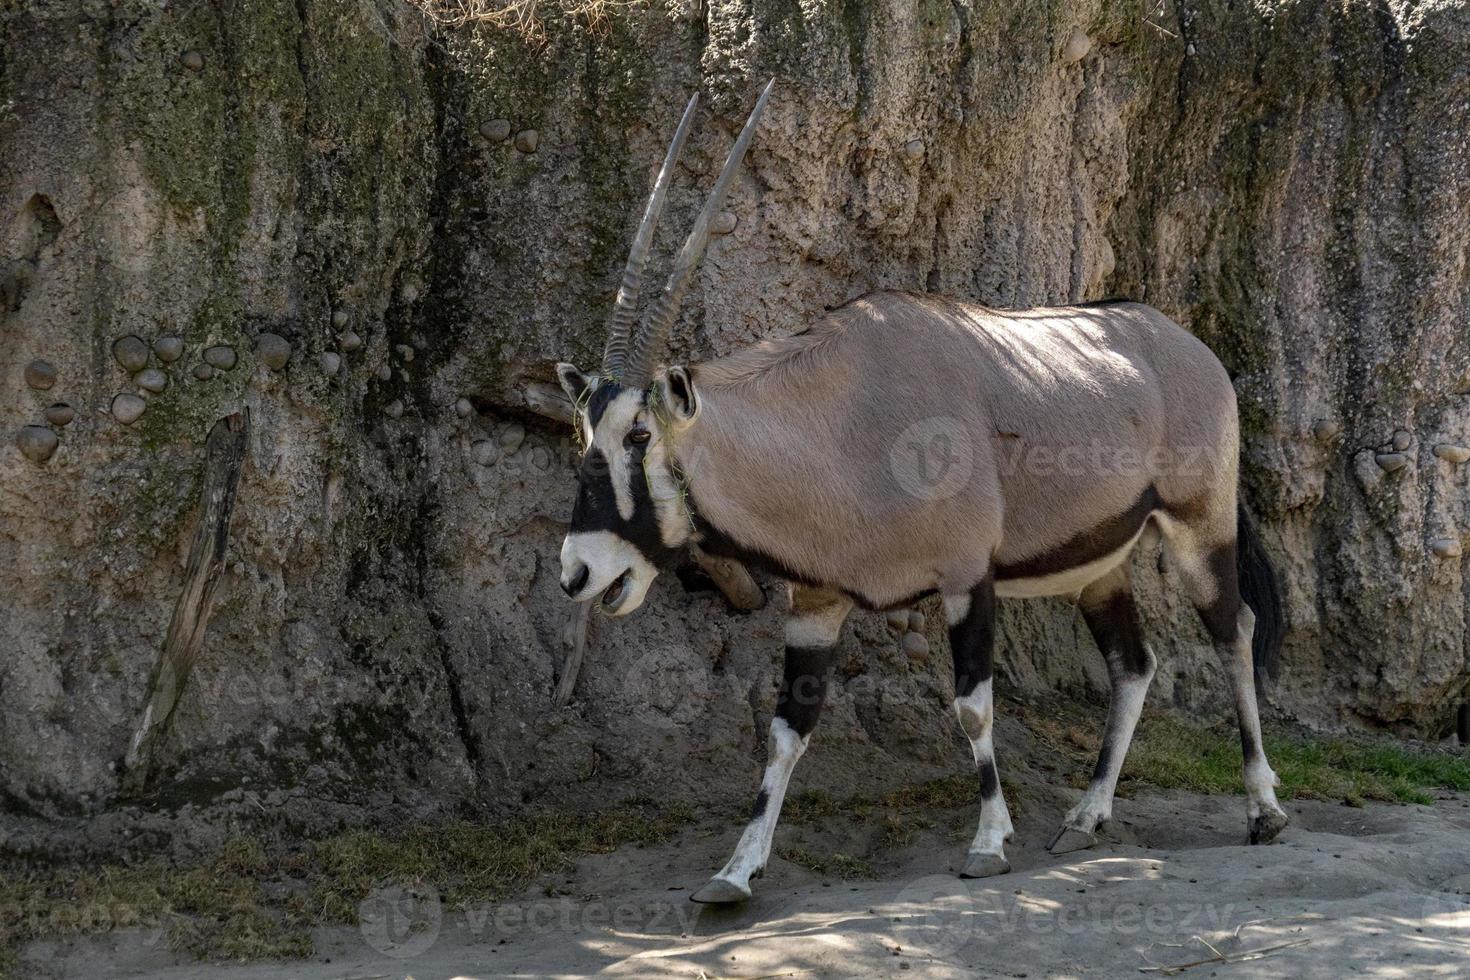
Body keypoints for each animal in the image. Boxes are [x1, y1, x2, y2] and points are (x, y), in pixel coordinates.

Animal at [555, 84, 1293, 905]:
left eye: (639, 436)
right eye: (585, 434)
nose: (577, 571)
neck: (842, 422)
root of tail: (1184, 342)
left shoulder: (968, 577)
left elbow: (972, 706)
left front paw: (989, 842)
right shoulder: (817, 603)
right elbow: (785, 731)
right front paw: (735, 872)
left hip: (1200, 525)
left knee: (1234, 630)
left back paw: (1263, 809)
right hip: (1099, 565)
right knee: (1133, 664)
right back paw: (1085, 816)